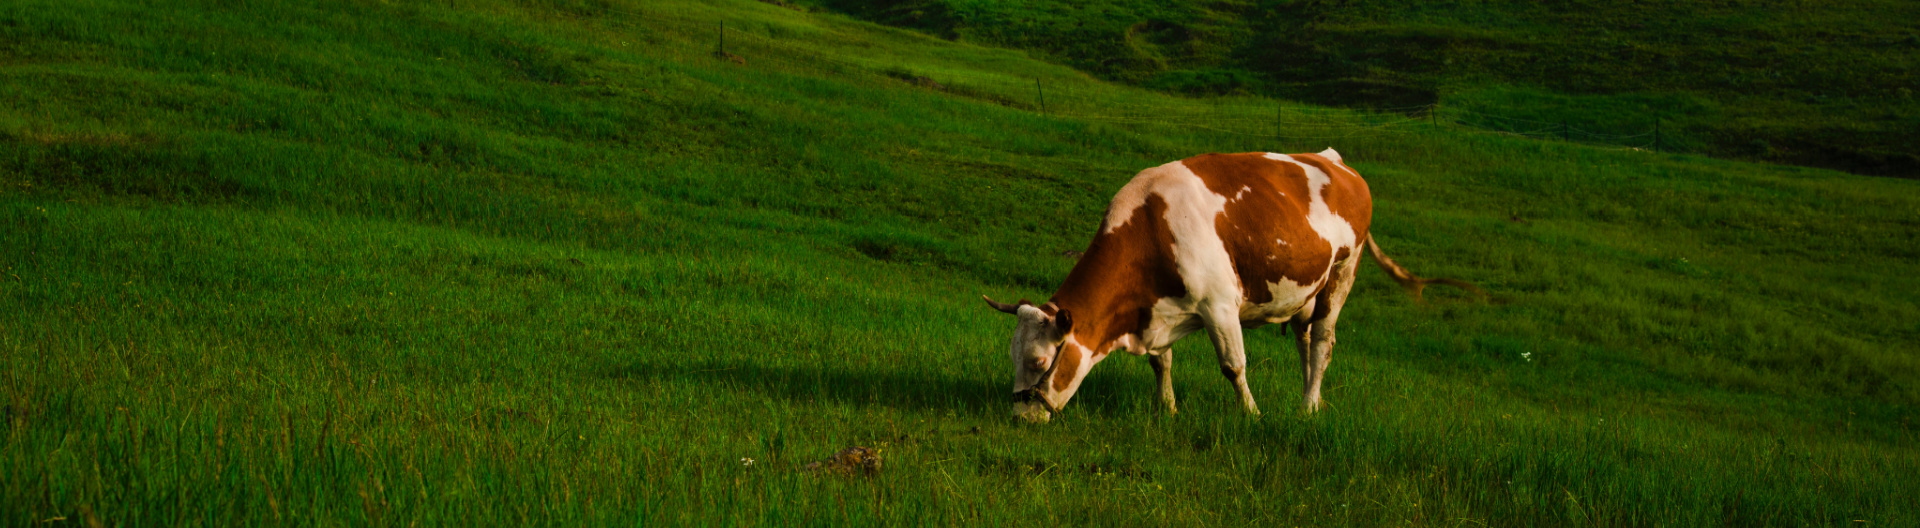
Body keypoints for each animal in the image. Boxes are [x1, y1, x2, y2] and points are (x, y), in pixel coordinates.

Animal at [984, 150, 1477, 423]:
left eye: (1038, 360)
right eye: (1011, 355)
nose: (1019, 417)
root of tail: (1336, 161)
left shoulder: (1218, 304)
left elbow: (1233, 366)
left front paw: (1252, 415)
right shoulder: (1160, 309)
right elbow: (1162, 363)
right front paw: (1168, 409)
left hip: (1343, 272)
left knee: (1322, 342)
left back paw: (1306, 408)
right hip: (1306, 288)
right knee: (1304, 342)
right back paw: (1311, 400)